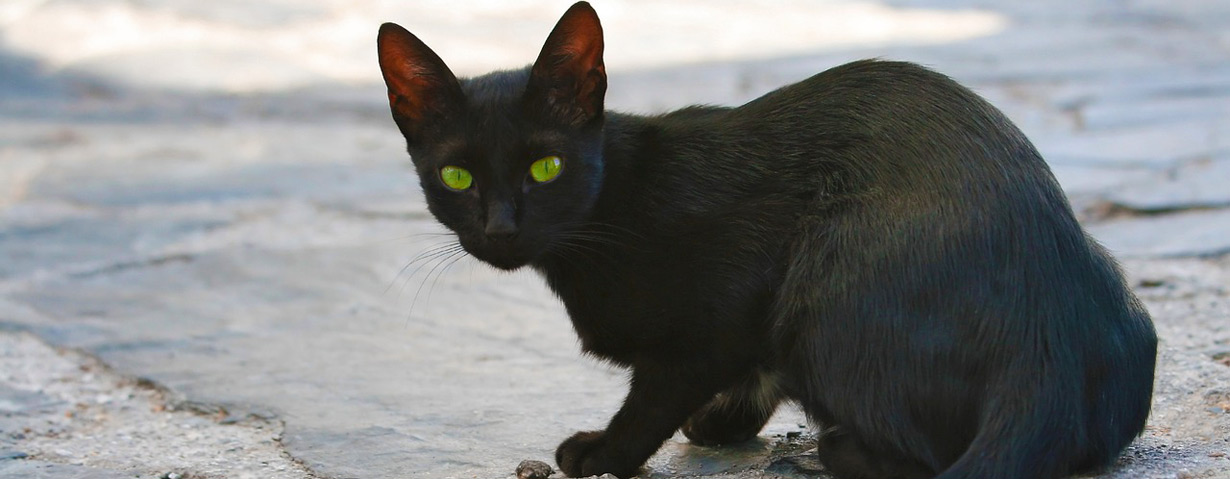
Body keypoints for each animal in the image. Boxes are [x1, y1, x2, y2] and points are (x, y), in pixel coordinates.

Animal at [373, 3, 1151, 477]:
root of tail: (1045, 339)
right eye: (456, 175)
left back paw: (835, 447)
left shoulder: (722, 310)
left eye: (546, 167)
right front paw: (724, 418)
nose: (501, 227)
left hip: (821, 279)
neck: (609, 213)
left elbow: (656, 394)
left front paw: (606, 450)